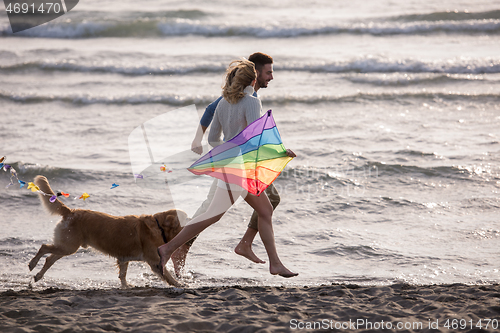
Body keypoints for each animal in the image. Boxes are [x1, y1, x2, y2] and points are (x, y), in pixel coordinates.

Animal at [27, 175, 185, 286]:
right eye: (187, 217)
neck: (159, 226)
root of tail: (71, 211)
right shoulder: (155, 261)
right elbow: (168, 276)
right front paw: (180, 285)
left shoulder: (123, 258)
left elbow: (122, 275)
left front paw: (125, 287)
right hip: (68, 246)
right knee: (44, 247)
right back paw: (32, 264)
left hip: (66, 245)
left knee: (49, 258)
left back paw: (38, 275)